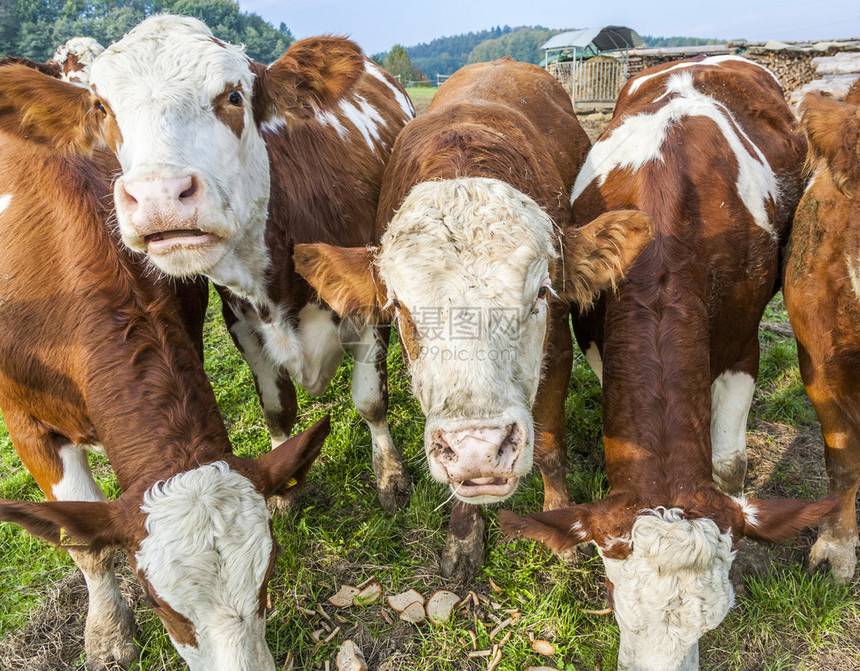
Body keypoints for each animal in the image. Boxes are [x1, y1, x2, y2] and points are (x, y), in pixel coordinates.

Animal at [0, 14, 414, 510]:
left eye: (233, 96)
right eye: (101, 107)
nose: (159, 196)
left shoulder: (368, 302)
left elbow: (370, 400)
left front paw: (390, 475)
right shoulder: (243, 323)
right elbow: (278, 410)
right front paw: (283, 491)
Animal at [288, 59, 652, 576]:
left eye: (540, 293)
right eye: (400, 307)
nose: (480, 449)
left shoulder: (557, 347)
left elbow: (549, 443)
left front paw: (559, 518)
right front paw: (463, 536)